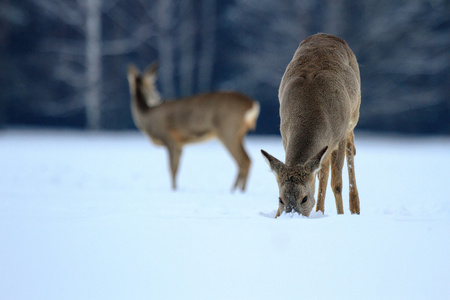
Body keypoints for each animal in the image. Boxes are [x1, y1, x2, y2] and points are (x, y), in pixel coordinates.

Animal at [126, 62, 260, 191]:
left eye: (152, 85)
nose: (158, 97)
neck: (147, 117)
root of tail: (252, 104)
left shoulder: (169, 137)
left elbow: (172, 168)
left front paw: (173, 190)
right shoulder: (179, 143)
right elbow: (177, 168)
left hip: (228, 129)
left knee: (243, 160)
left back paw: (236, 191)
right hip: (239, 133)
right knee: (247, 160)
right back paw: (236, 190)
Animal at [260, 33, 362, 218]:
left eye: (305, 198)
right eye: (280, 199)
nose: (291, 216)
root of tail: (327, 35)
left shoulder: (340, 134)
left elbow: (337, 183)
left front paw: (341, 215)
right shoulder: (284, 133)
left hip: (354, 112)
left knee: (350, 145)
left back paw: (355, 207)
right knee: (323, 169)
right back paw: (320, 210)